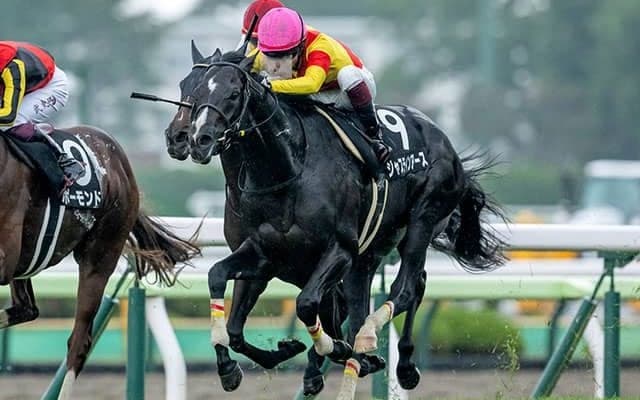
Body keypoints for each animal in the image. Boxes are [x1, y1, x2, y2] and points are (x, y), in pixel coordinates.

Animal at [185, 47, 506, 399]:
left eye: (232, 94)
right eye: (194, 92)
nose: (198, 139)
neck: (288, 169)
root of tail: (444, 140)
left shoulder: (340, 251)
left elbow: (307, 305)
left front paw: (334, 350)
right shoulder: (262, 254)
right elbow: (222, 289)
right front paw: (240, 366)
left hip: (423, 218)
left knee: (406, 288)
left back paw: (376, 346)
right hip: (376, 246)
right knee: (394, 289)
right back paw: (382, 359)